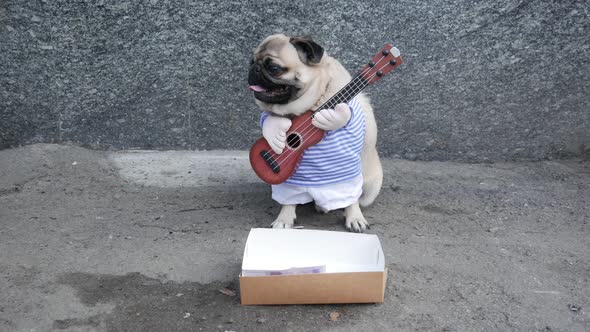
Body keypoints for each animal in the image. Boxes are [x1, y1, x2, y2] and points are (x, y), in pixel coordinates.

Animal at [246, 33, 382, 231]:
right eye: (250, 61)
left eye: (274, 68)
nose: (254, 69)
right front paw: (284, 219)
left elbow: (351, 198)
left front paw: (354, 217)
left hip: (370, 186)